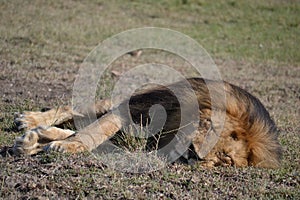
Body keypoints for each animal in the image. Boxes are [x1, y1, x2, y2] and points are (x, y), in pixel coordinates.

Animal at [12, 77, 282, 168]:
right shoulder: (130, 109)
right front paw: (63, 145)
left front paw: (37, 141)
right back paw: (30, 119)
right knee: (73, 108)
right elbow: (96, 131)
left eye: (224, 161)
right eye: (211, 130)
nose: (195, 156)